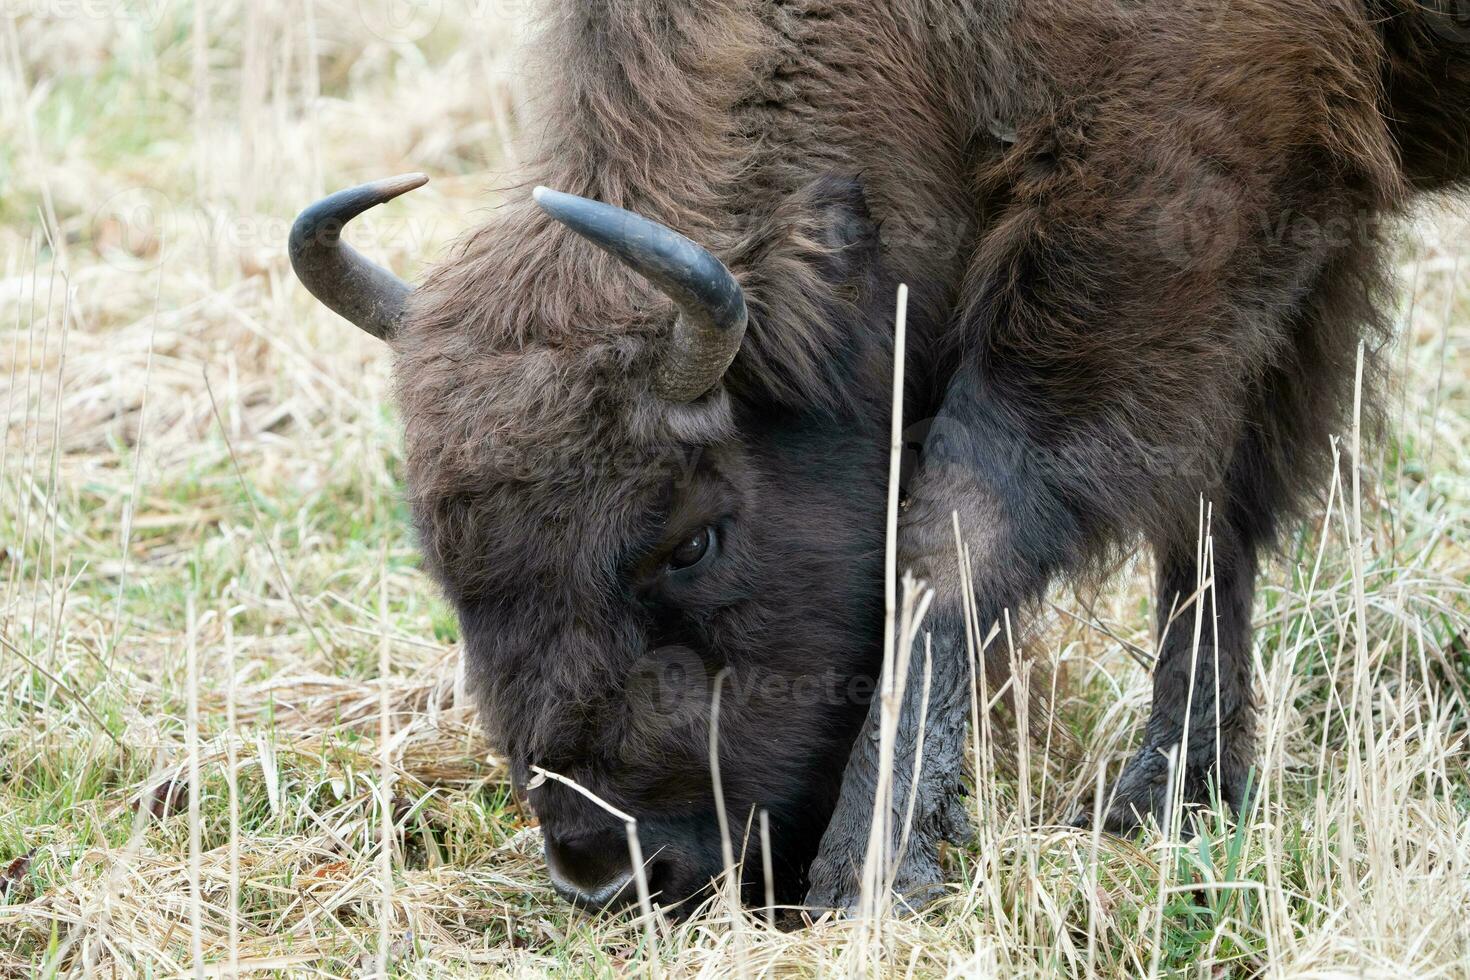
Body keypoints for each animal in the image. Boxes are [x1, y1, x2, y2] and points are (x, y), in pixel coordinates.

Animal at [286, 0, 1470, 916]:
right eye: (441, 557)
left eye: (693, 540)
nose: (614, 872)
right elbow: (1213, 519)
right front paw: (1176, 796)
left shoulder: (1175, 202)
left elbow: (966, 528)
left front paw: (872, 875)